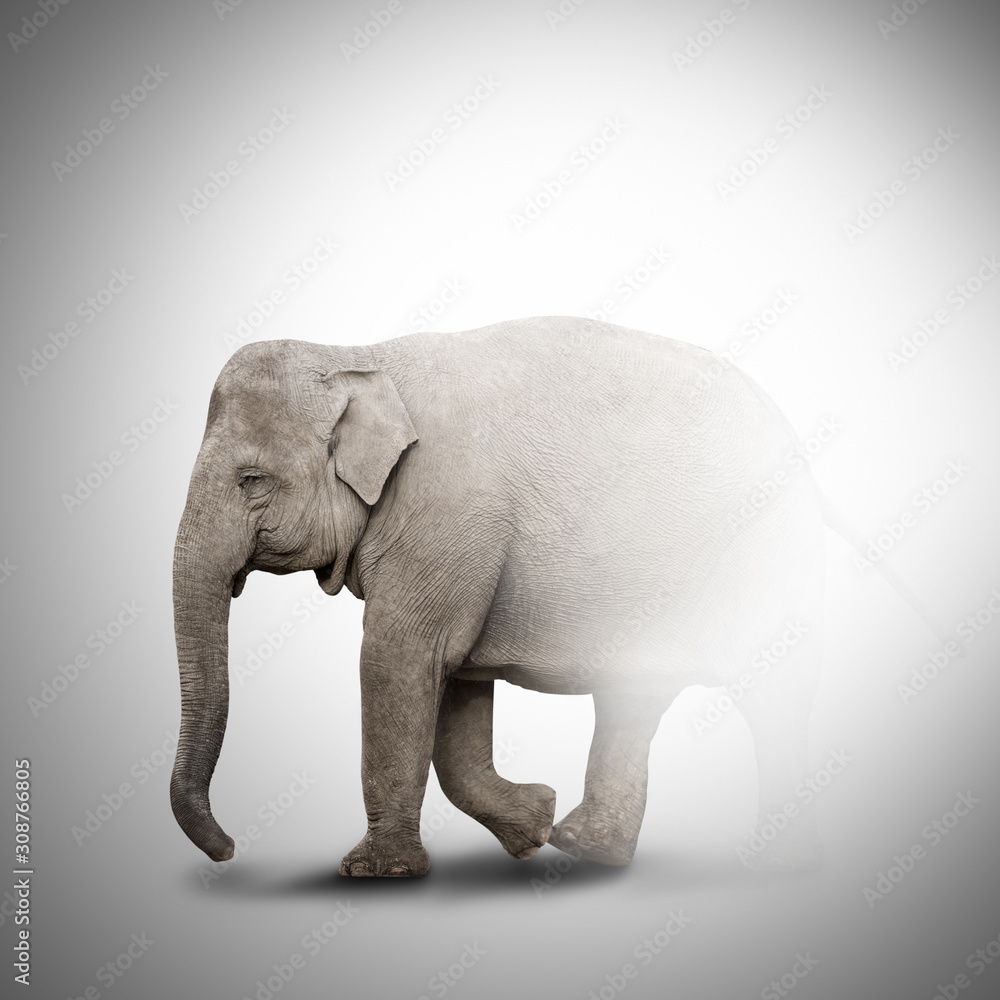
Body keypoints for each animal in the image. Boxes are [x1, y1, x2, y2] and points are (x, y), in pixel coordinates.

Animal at [170, 315, 828, 877]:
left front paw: (375, 872)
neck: (359, 357)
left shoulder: (446, 514)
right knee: (634, 698)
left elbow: (399, 658)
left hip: (762, 567)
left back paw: (775, 862)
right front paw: (535, 822)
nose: (230, 850)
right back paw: (586, 848)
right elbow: (456, 676)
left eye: (252, 481)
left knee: (772, 694)